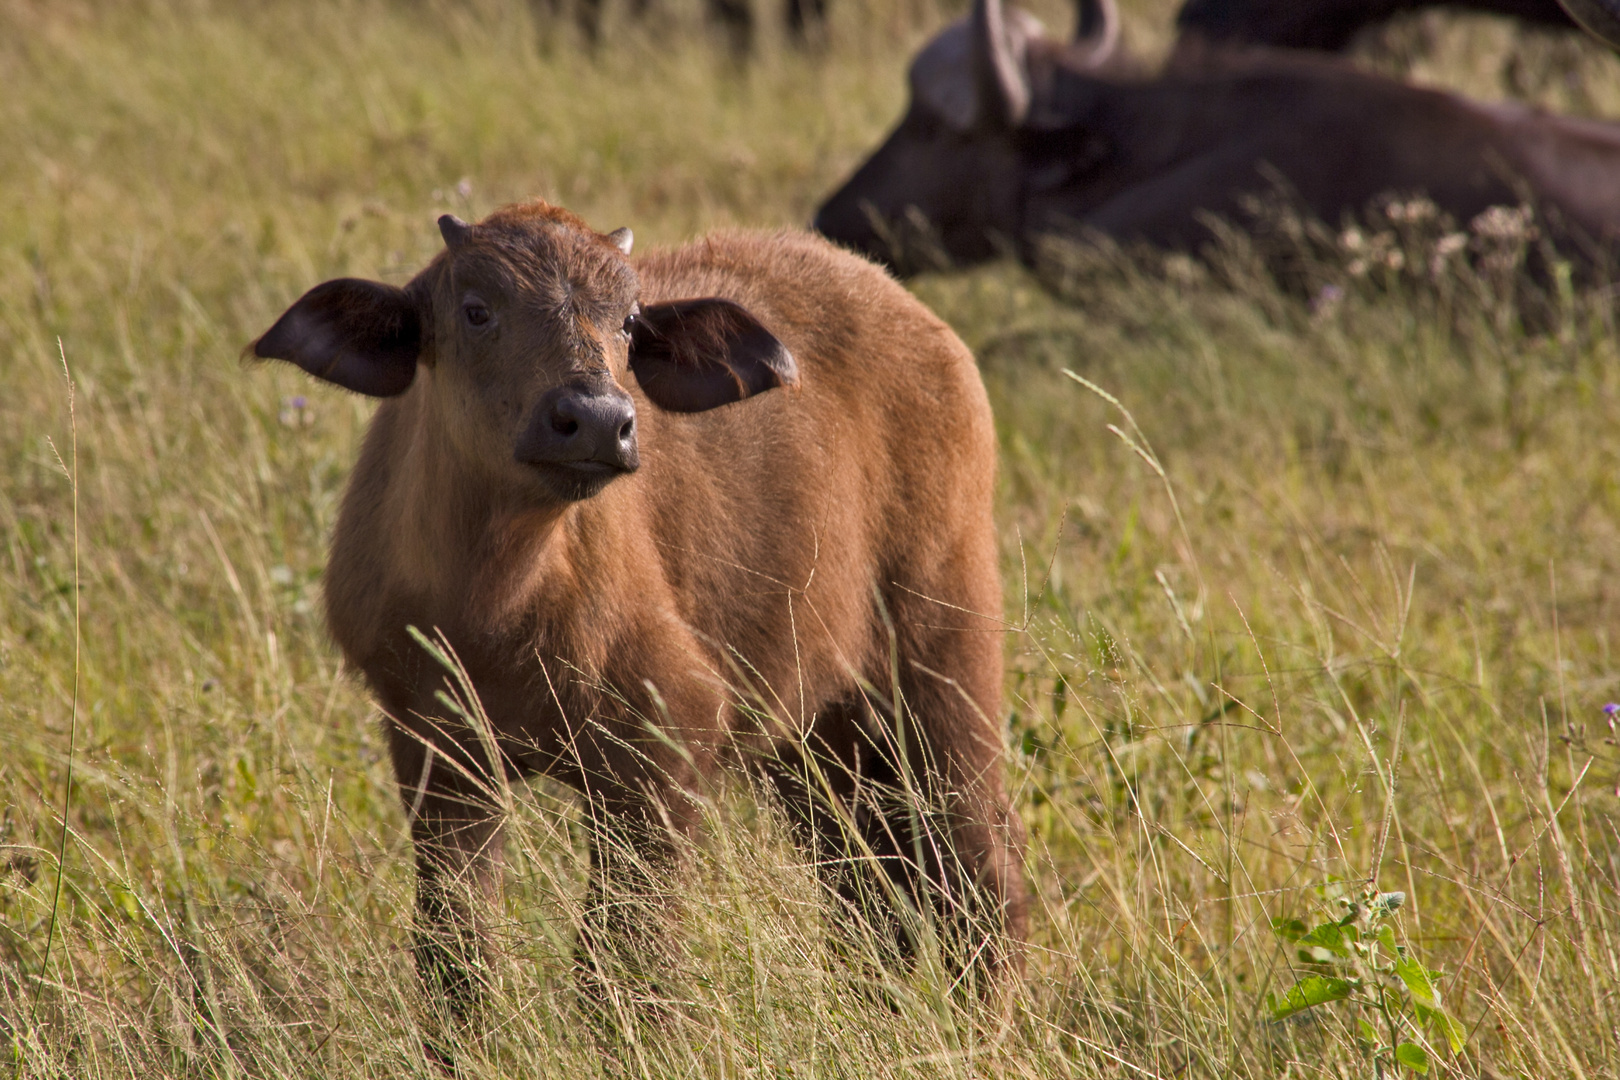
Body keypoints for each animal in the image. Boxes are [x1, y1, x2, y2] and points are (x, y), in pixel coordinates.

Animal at [247, 200, 1030, 1036]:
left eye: (627, 321)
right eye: (476, 309)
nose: (596, 420)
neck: (493, 604)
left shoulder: (663, 743)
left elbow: (624, 952)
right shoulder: (437, 753)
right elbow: (456, 949)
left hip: (945, 658)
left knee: (979, 862)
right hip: (821, 735)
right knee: (868, 884)